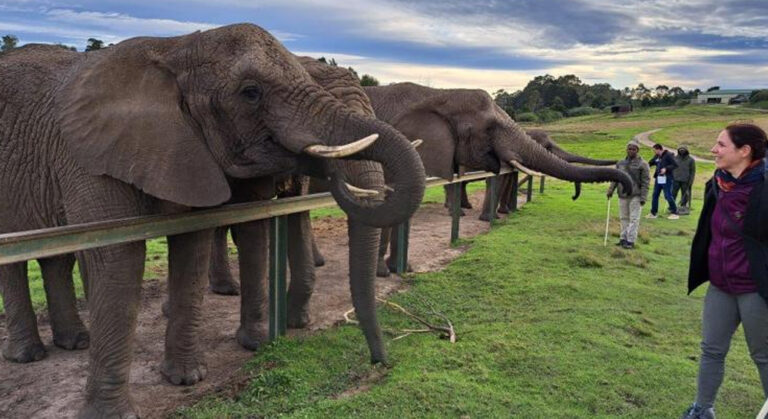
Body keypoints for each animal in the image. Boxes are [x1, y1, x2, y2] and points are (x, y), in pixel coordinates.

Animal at [0, 24, 424, 418]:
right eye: (251, 92)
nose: (380, 363)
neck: (175, 48)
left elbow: (208, 238)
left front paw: (199, 372)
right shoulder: (89, 154)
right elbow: (119, 256)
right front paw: (112, 413)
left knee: (56, 258)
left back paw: (74, 342)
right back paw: (29, 355)